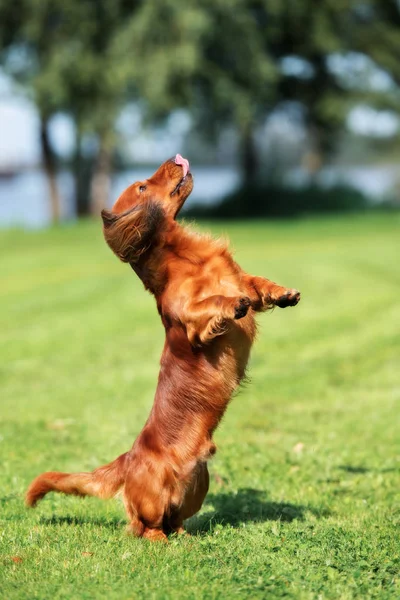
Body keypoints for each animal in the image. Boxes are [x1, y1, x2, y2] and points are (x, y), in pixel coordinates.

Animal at [25, 154, 300, 540]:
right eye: (142, 187)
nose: (174, 159)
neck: (189, 257)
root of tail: (127, 458)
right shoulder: (192, 321)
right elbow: (212, 304)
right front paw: (232, 305)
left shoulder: (240, 278)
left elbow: (255, 283)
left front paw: (282, 292)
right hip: (155, 493)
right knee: (145, 526)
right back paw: (160, 541)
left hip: (199, 483)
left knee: (176, 519)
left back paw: (184, 537)